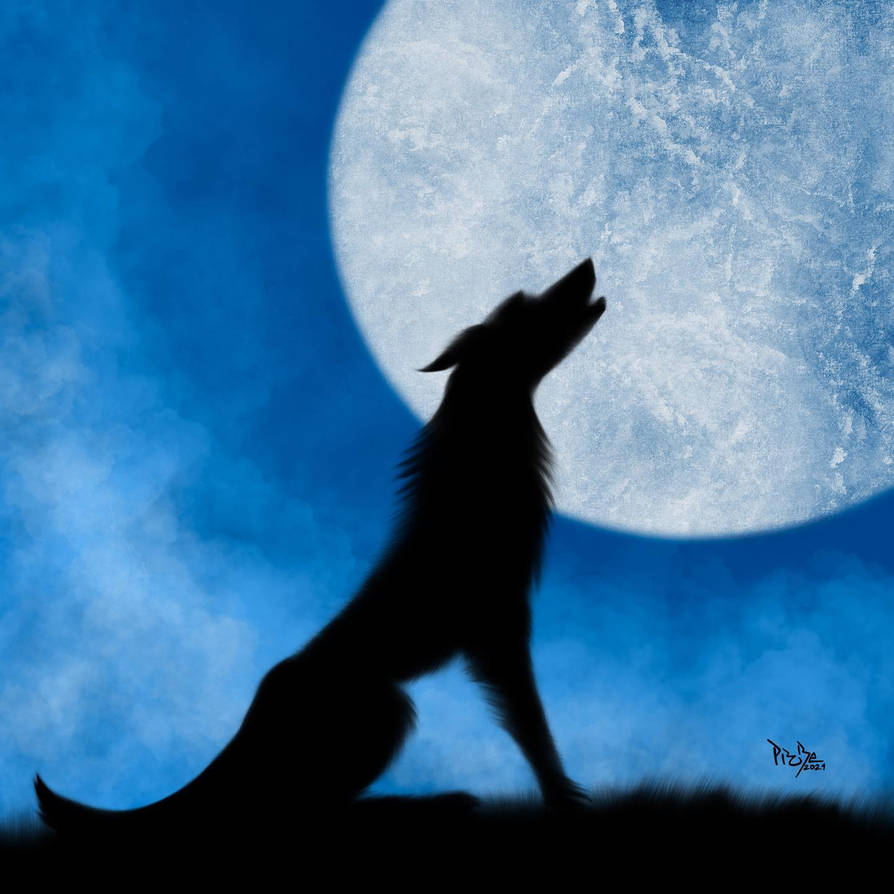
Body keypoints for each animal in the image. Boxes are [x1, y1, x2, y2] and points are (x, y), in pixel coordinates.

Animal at [35, 259, 606, 836]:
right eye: (524, 303)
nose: (587, 265)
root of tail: (251, 719)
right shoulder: (497, 628)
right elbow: (530, 724)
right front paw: (563, 797)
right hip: (385, 709)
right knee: (307, 812)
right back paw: (425, 804)